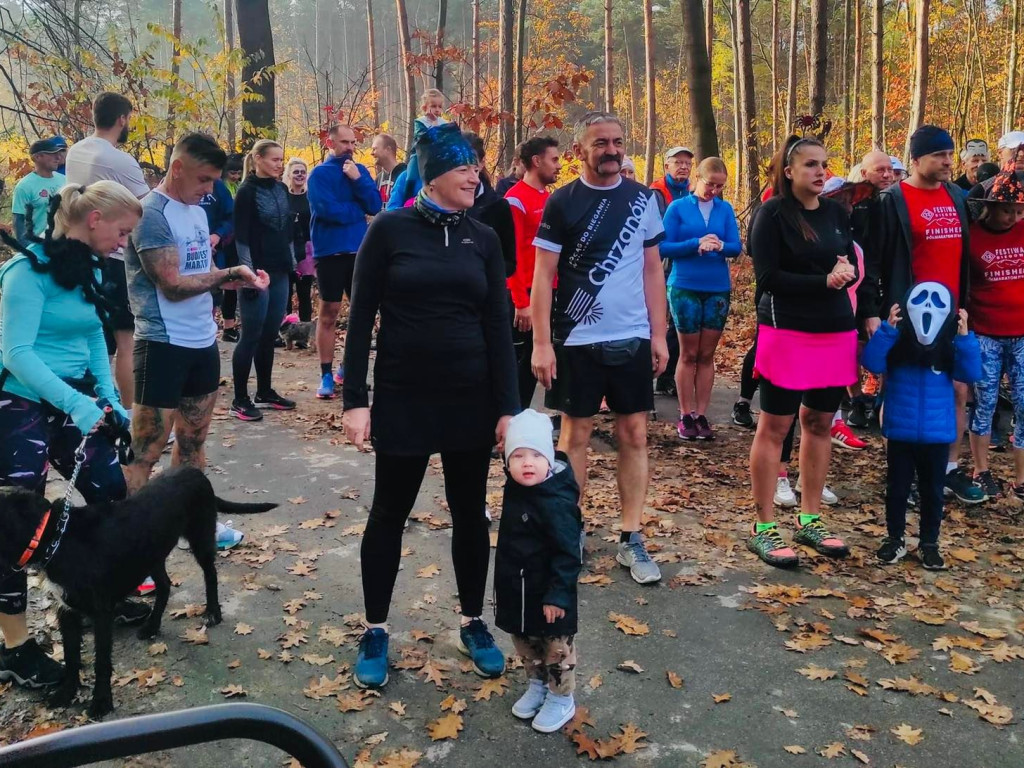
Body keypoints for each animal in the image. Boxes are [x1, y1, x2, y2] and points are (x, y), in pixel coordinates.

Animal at [0, 468, 276, 720]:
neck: (56, 537)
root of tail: (196, 472)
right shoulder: (66, 611)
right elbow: (71, 655)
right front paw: (67, 692)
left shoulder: (101, 613)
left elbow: (101, 662)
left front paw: (101, 702)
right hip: (151, 554)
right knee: (165, 586)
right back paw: (152, 625)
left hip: (199, 537)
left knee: (211, 575)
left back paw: (212, 612)